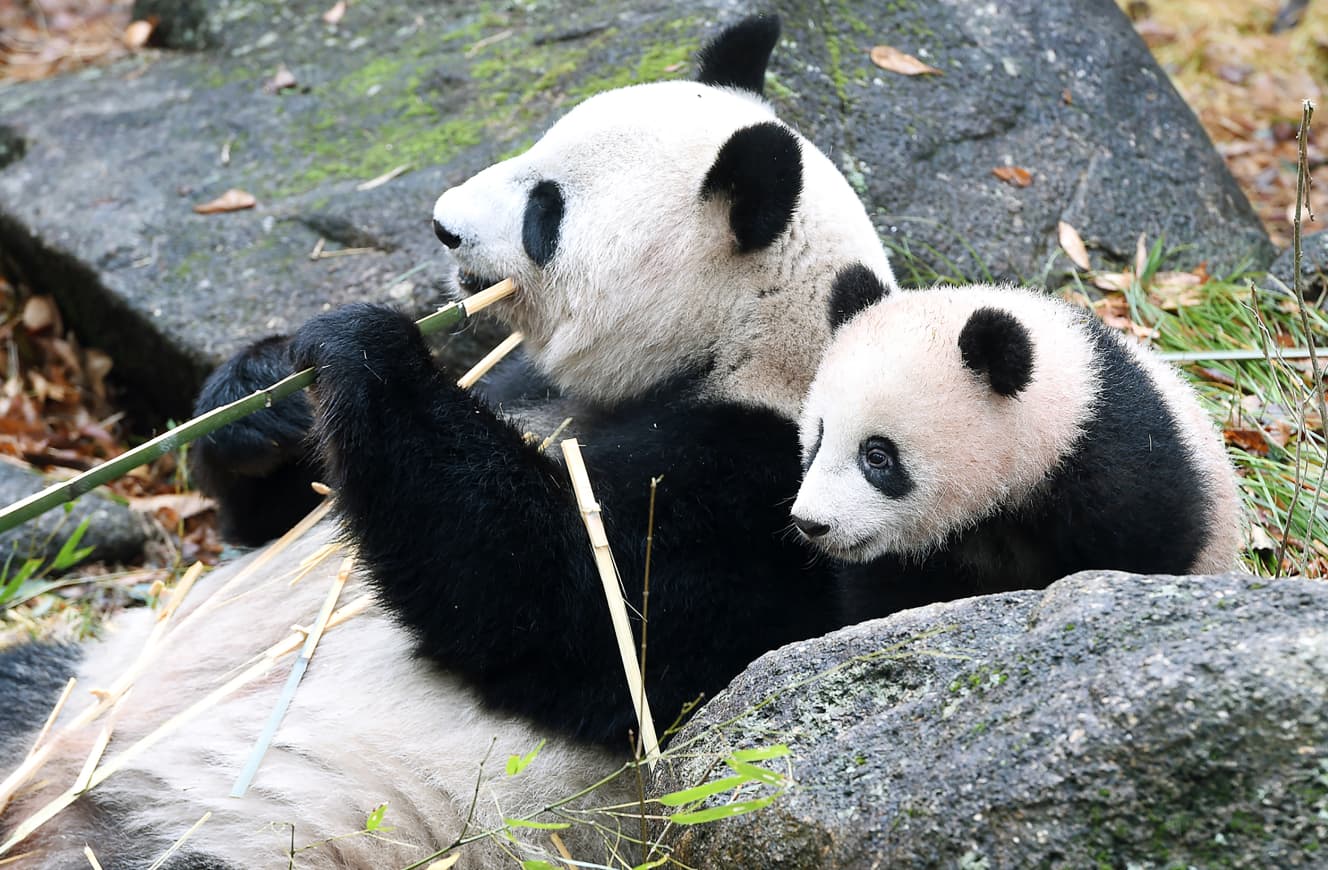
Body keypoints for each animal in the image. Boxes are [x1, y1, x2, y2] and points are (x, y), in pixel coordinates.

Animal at [2, 15, 903, 870]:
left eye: (546, 209)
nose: (441, 228)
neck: (741, 341)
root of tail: (61, 812)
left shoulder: (768, 486)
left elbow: (565, 599)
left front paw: (365, 348)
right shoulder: (523, 384)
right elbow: (287, 516)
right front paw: (262, 397)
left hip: (288, 834)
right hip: (87, 686)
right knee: (25, 682)